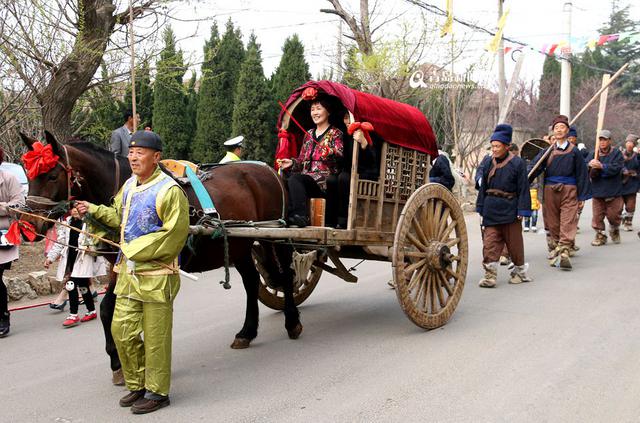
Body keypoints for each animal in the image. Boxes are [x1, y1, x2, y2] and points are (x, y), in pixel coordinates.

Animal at [18, 131, 300, 376]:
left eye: (52, 175)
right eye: (28, 175)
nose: (27, 227)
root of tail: (268, 170)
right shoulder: (119, 266)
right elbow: (109, 308)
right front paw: (117, 361)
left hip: (275, 236)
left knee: (286, 275)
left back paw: (292, 321)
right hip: (240, 245)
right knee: (252, 282)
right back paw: (247, 332)